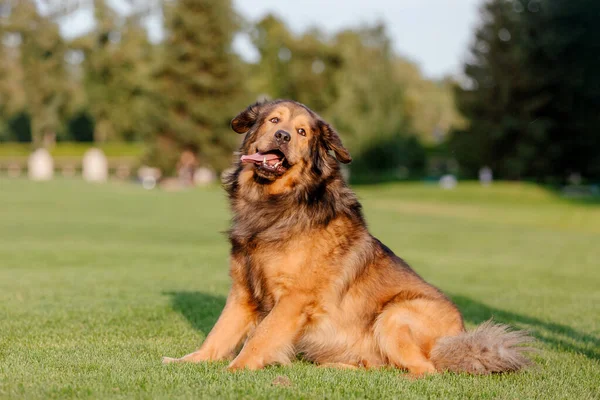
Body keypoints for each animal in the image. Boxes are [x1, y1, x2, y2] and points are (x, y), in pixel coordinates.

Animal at [161, 99, 536, 376]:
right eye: (273, 120)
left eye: (301, 132)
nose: (282, 136)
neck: (279, 204)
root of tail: (459, 338)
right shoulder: (242, 293)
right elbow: (218, 334)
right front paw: (187, 362)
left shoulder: (294, 299)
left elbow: (260, 338)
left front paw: (234, 371)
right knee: (382, 366)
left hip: (395, 315)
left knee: (423, 371)